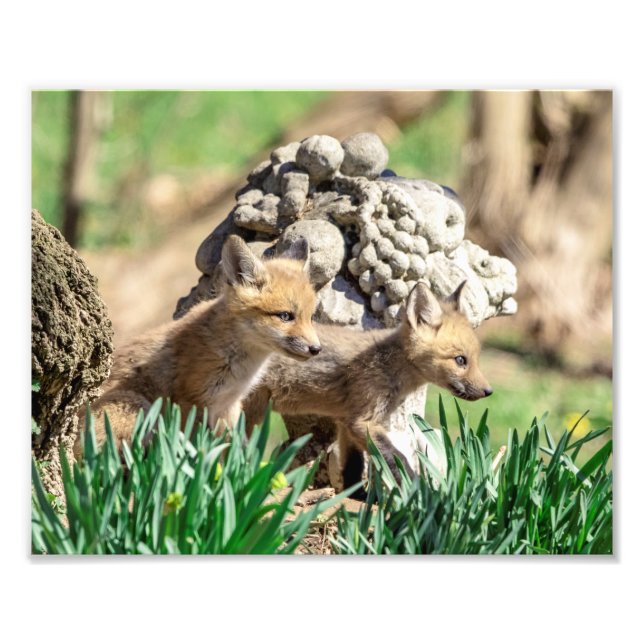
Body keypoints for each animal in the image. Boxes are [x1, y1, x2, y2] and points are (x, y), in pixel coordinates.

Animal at [73, 235, 320, 459]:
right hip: (138, 407)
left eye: (311, 317)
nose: (316, 349)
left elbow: (233, 449)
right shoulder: (190, 402)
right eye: (285, 316)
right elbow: (192, 446)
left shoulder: (229, 404)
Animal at [243, 280, 492, 496]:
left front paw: (354, 497)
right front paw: (419, 493)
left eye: (476, 359)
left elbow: (352, 467)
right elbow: (397, 459)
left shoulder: (347, 421)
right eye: (460, 360)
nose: (488, 392)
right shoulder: (364, 421)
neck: (390, 365)